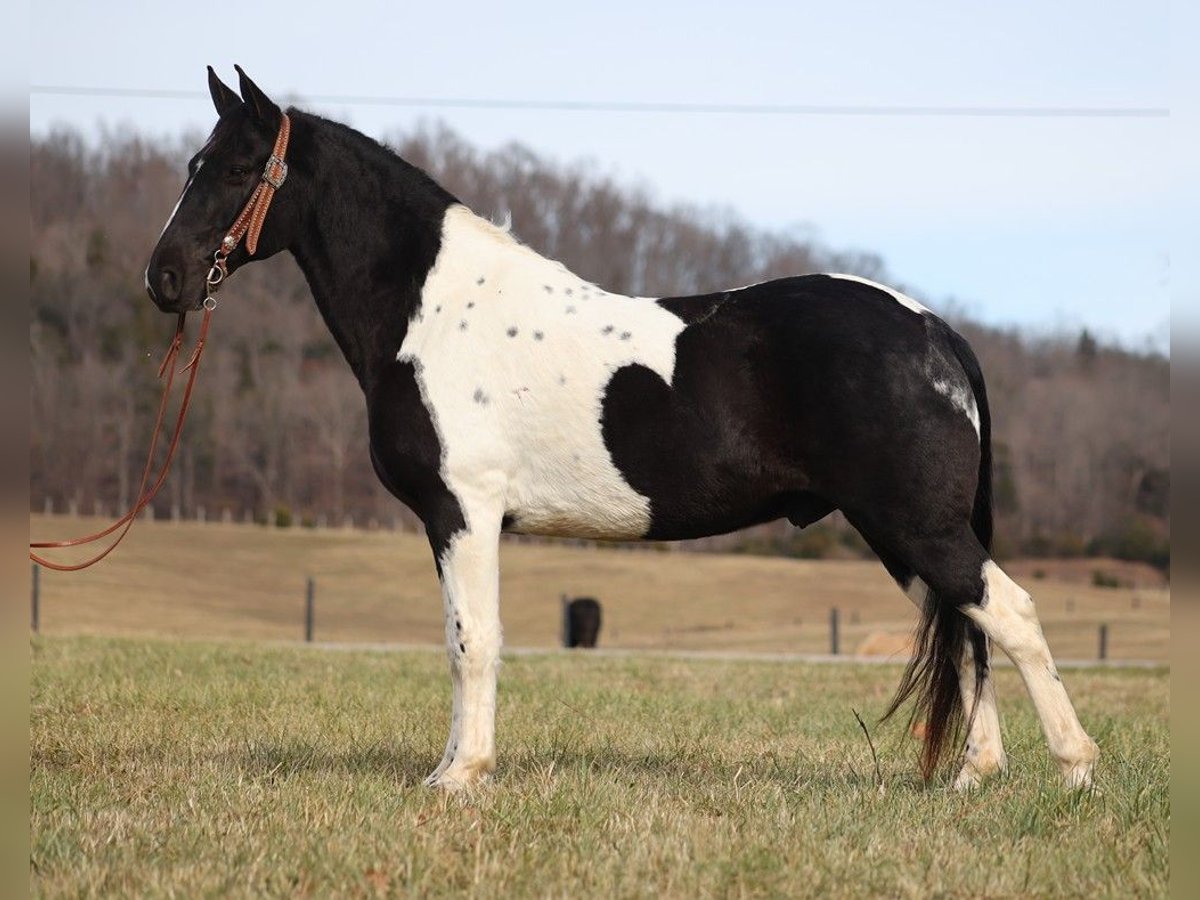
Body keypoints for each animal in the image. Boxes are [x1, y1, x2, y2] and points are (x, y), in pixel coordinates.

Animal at [142, 66, 1099, 792]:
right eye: (192, 164)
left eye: (236, 168)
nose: (165, 277)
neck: (434, 311)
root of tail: (932, 328)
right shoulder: (457, 521)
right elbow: (464, 639)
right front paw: (453, 768)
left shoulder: (464, 513)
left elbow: (472, 642)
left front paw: (460, 778)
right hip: (899, 532)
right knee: (969, 625)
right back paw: (975, 775)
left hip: (915, 525)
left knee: (1009, 614)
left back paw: (1076, 770)